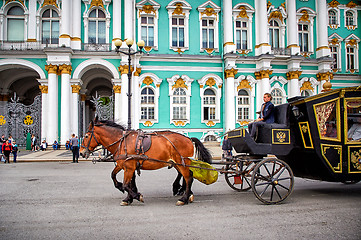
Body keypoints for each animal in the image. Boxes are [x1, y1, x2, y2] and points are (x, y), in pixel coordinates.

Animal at [79, 117, 211, 205]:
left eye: (86, 136)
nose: (81, 152)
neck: (122, 142)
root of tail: (188, 138)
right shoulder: (124, 165)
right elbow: (116, 177)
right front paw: (127, 196)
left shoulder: (129, 167)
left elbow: (127, 184)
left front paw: (136, 196)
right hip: (178, 163)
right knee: (187, 176)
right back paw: (186, 194)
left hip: (182, 162)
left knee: (188, 178)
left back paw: (183, 198)